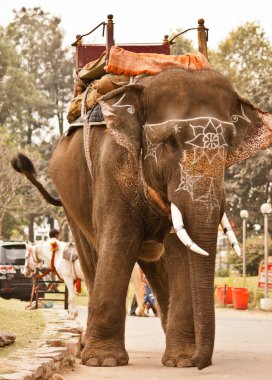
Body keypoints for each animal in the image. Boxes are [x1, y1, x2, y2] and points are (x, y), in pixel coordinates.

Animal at [11, 67, 272, 370]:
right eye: (170, 142)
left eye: (229, 144)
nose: (201, 363)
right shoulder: (111, 167)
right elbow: (119, 242)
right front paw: (103, 361)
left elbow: (180, 250)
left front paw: (182, 361)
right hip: (70, 202)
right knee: (93, 259)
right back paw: (89, 347)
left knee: (157, 268)